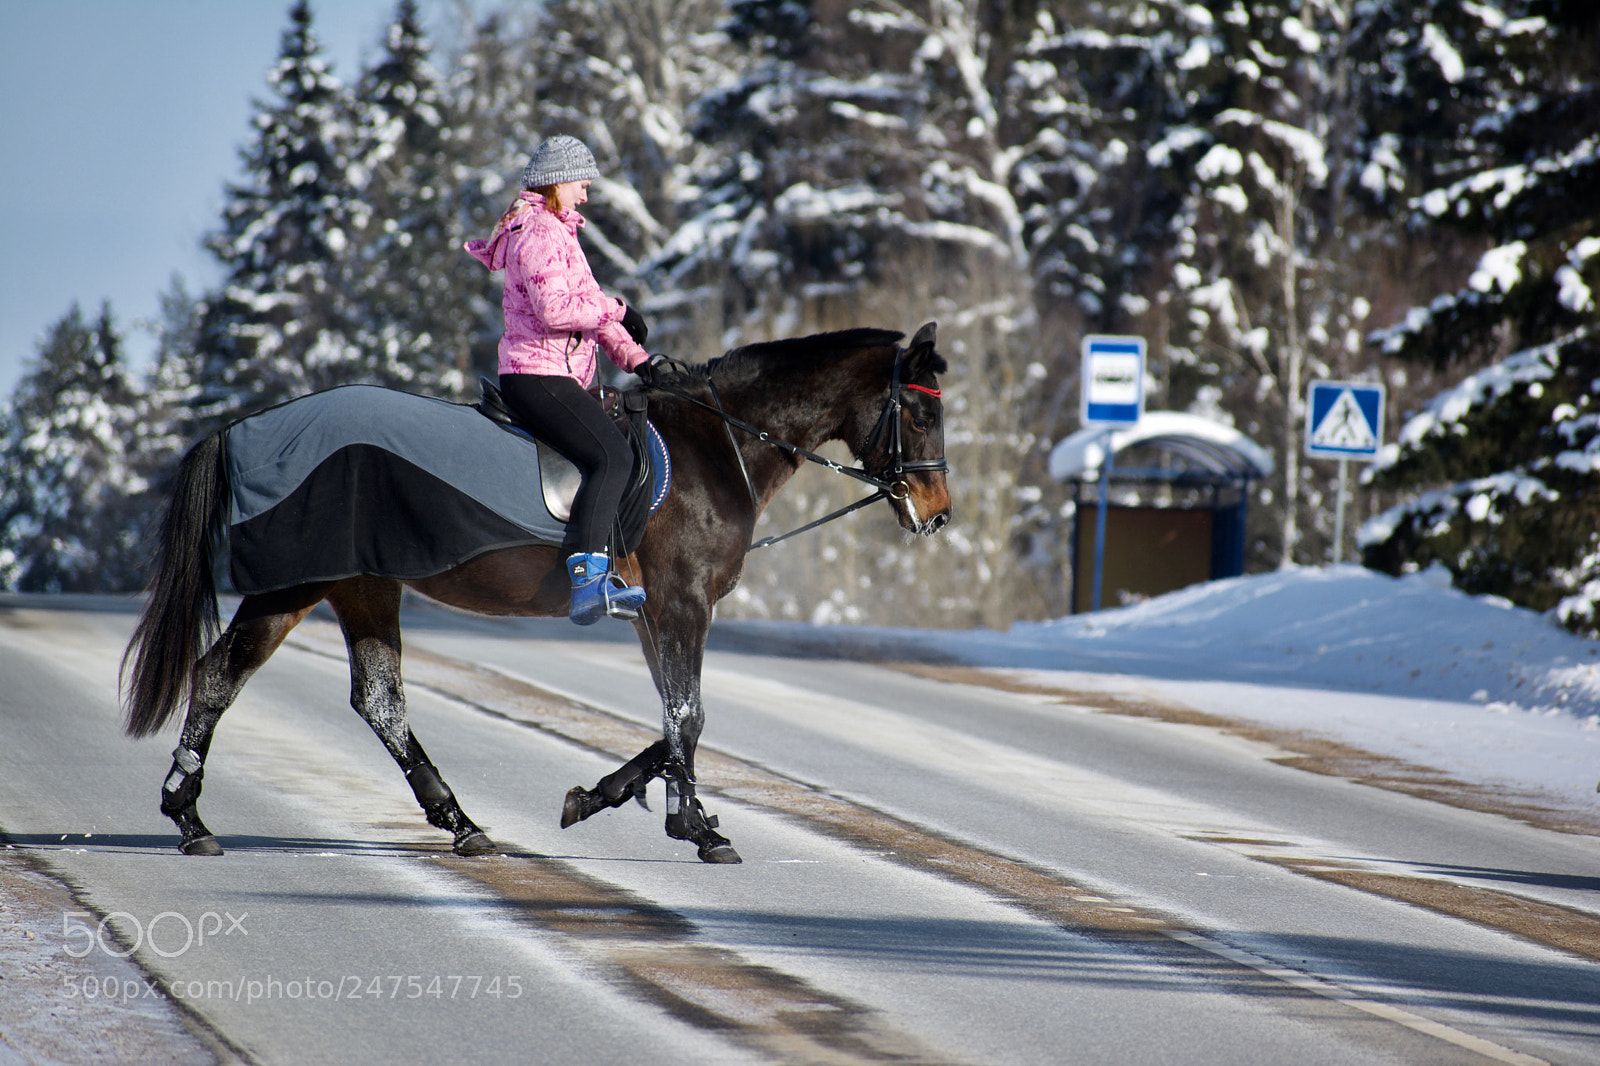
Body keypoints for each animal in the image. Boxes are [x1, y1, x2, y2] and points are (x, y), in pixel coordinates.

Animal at [121, 324, 951, 864]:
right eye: (920, 410)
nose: (937, 512)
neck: (719, 444)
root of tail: (249, 429)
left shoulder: (654, 612)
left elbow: (672, 719)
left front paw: (607, 796)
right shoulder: (683, 602)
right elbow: (688, 714)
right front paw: (697, 828)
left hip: (363, 586)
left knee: (379, 701)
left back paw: (459, 822)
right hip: (301, 581)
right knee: (220, 675)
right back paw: (188, 818)